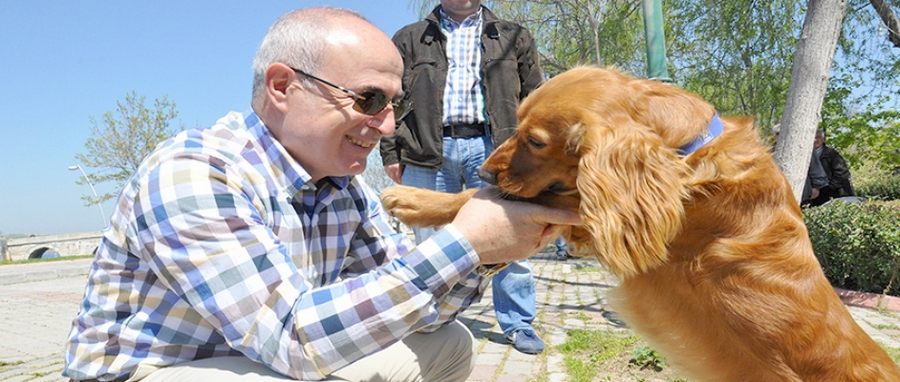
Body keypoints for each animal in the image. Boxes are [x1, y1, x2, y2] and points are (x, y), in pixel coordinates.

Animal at [384, 67, 900, 380]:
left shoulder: (597, 218)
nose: (488, 170)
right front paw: (423, 198)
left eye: (535, 141)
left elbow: (484, 198)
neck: (687, 151)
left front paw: (415, 199)